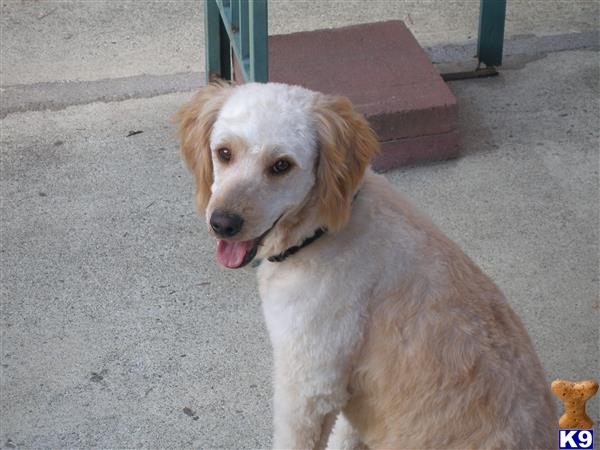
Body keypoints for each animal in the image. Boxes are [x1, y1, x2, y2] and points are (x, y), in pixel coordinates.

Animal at [176, 81, 556, 450]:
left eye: (281, 165)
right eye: (224, 153)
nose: (222, 223)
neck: (322, 230)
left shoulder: (309, 385)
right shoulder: (347, 390)